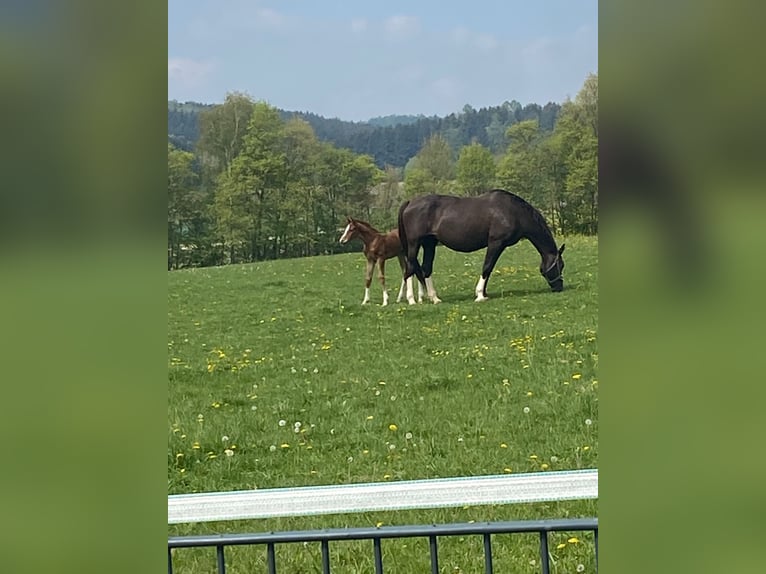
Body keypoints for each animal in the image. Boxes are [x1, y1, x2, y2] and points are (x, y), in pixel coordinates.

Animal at [400, 190, 568, 306]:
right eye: (560, 265)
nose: (559, 287)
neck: (513, 212)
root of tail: (410, 202)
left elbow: (490, 268)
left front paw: (485, 294)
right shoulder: (496, 242)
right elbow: (487, 267)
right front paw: (480, 295)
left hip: (429, 243)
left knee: (425, 269)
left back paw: (434, 298)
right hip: (414, 244)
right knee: (409, 269)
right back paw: (411, 300)